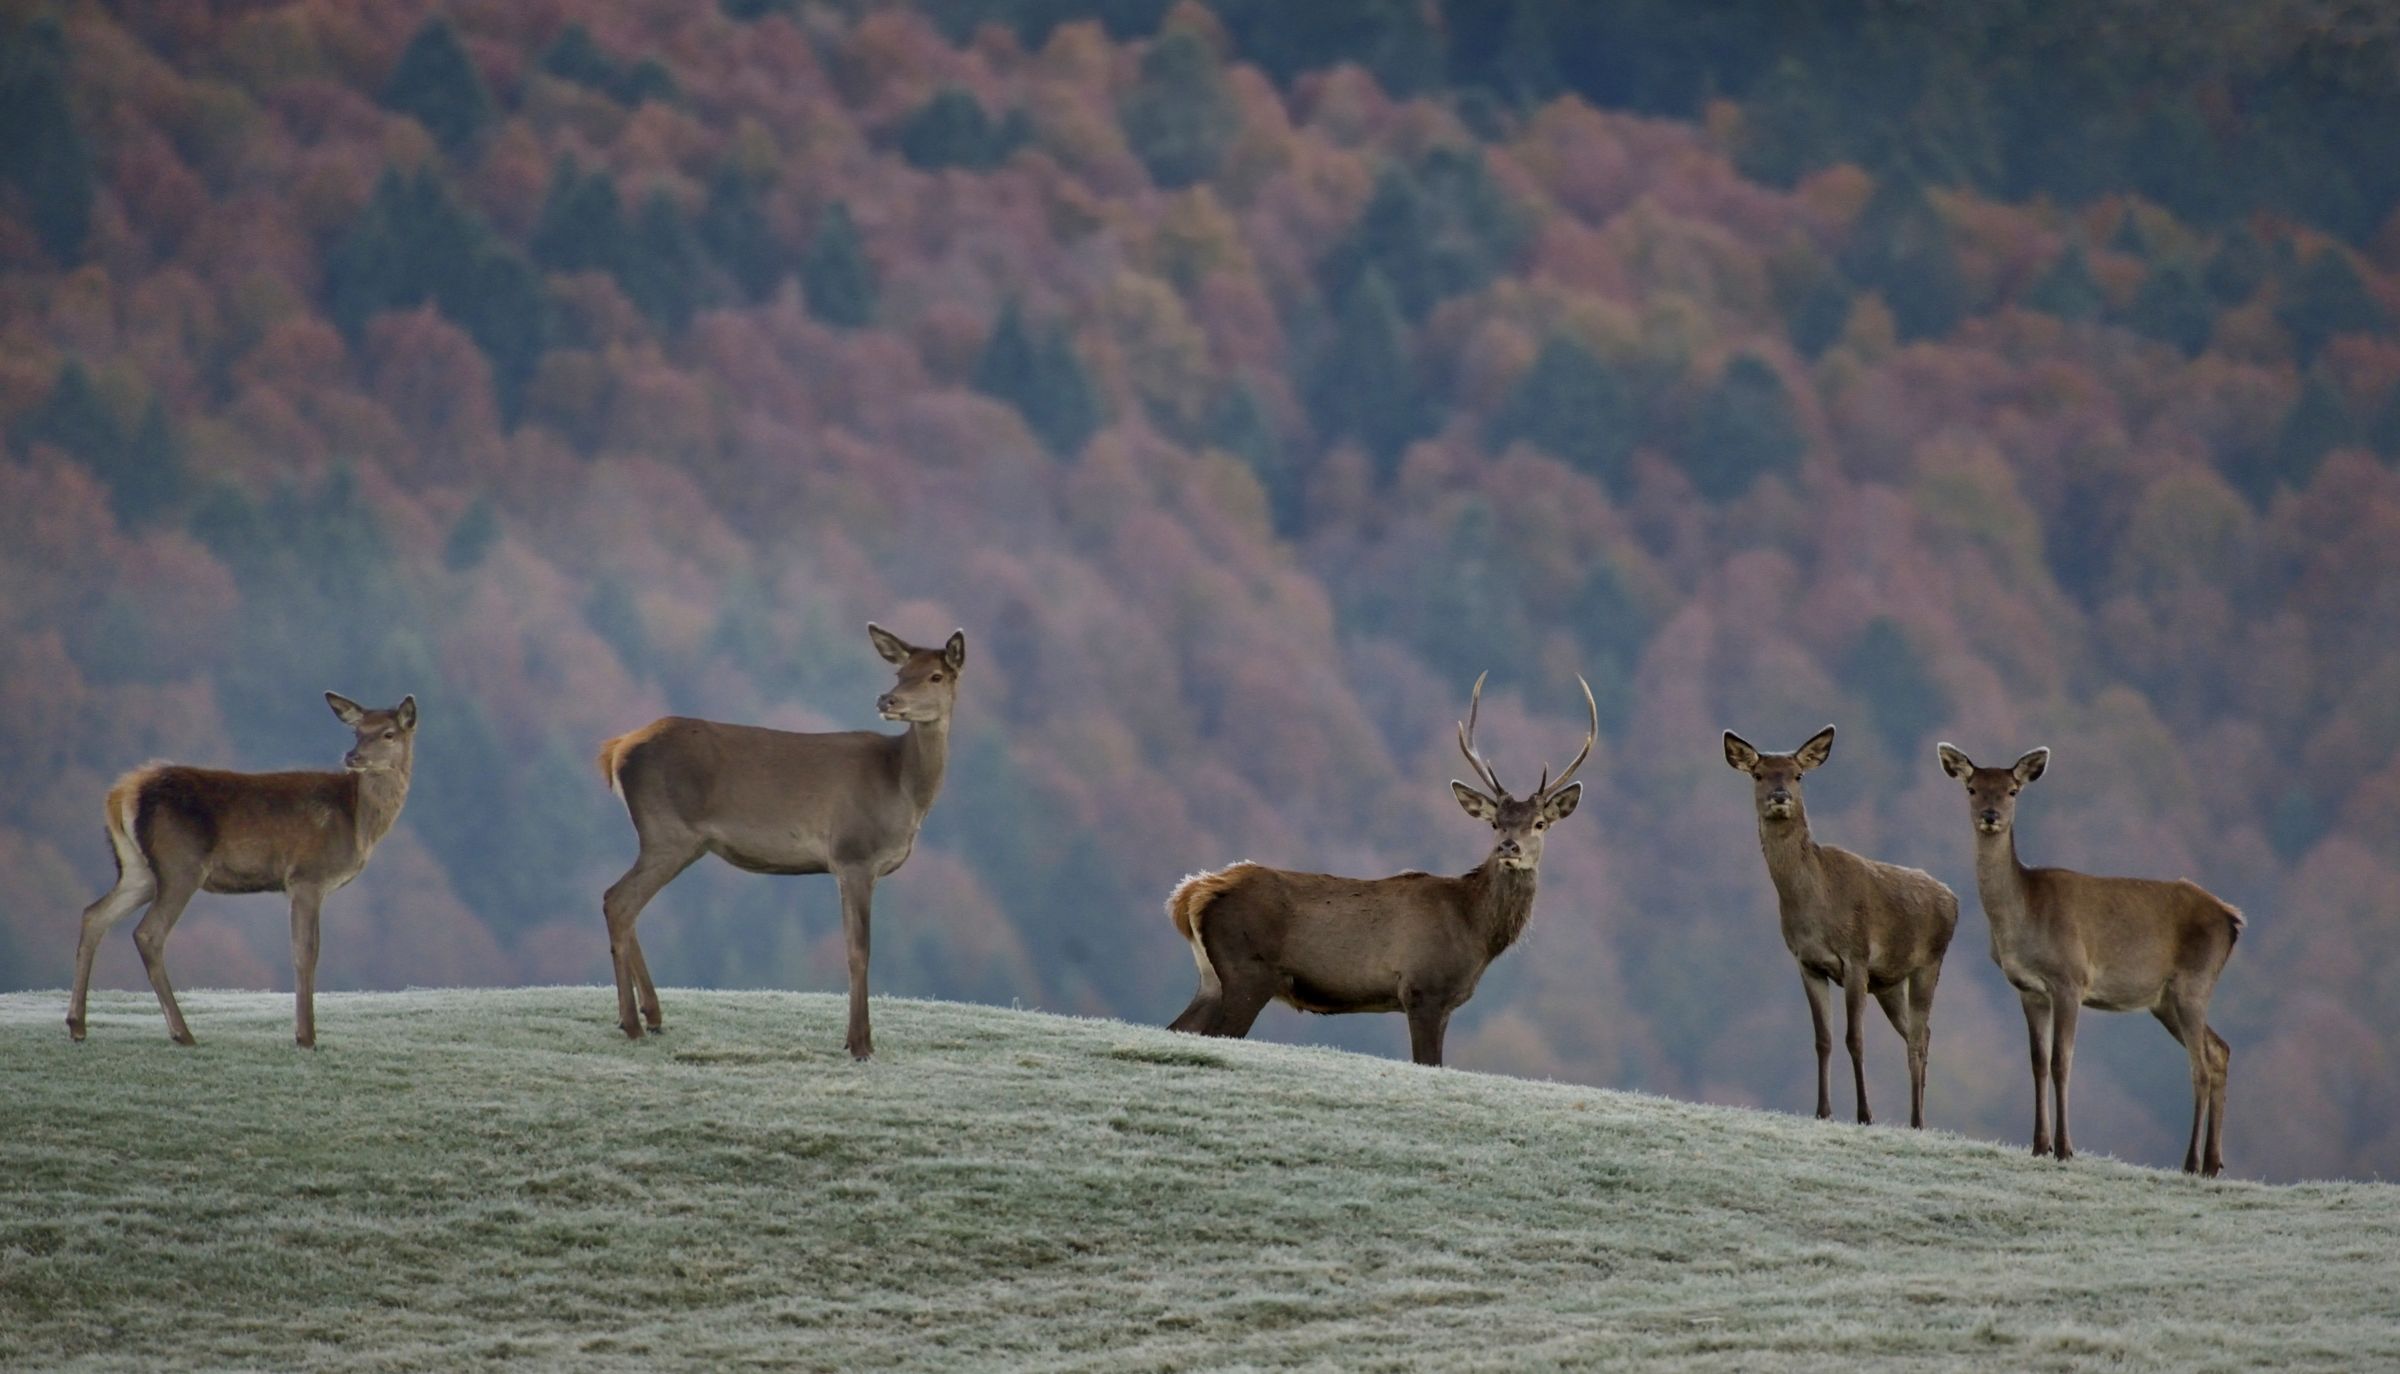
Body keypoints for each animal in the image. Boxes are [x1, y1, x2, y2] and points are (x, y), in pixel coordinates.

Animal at [65, 691, 420, 1047]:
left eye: (388, 733)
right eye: (357, 731)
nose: (352, 756)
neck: (358, 823)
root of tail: (121, 793)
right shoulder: (307, 877)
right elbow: (305, 952)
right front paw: (305, 1037)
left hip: (139, 870)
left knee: (94, 914)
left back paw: (77, 1024)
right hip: (180, 865)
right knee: (148, 933)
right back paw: (182, 1032)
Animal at [597, 624, 964, 1061]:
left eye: (935, 676)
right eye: (900, 673)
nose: (887, 699)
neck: (904, 789)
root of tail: (616, 749)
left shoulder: (847, 865)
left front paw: (853, 1039)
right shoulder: (854, 854)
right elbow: (859, 950)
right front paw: (860, 1043)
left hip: (677, 842)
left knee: (625, 905)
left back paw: (650, 1015)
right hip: (667, 832)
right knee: (618, 901)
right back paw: (632, 1023)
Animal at [1161, 672, 1593, 1066]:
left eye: (1540, 823)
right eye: (1495, 823)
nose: (1509, 847)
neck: (1475, 931)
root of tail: (1192, 893)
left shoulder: (1443, 1002)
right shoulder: (1422, 989)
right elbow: (1428, 1062)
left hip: (1211, 978)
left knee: (1178, 1028)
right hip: (1247, 970)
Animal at [1718, 730, 1958, 1128]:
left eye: (1798, 774)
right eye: (1758, 774)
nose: (1779, 796)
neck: (1816, 907)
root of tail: (1954, 899)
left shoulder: (1856, 957)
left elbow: (1854, 1039)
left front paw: (1865, 1114)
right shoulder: (1808, 964)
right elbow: (1824, 1039)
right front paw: (1823, 1111)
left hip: (1929, 964)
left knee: (1918, 1038)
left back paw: (1918, 1121)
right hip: (1889, 982)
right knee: (1919, 1032)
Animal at [1929, 744, 2246, 1177]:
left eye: (2012, 791)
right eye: (1972, 788)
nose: (1990, 815)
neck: (2023, 920)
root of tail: (2232, 919)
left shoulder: (2070, 979)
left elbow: (2062, 1061)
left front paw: (2064, 1148)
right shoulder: (2029, 989)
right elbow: (2038, 1061)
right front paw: (2038, 1145)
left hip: (2193, 983)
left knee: (2198, 1064)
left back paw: (2191, 1162)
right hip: (2166, 1000)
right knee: (2219, 1051)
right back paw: (2213, 1163)